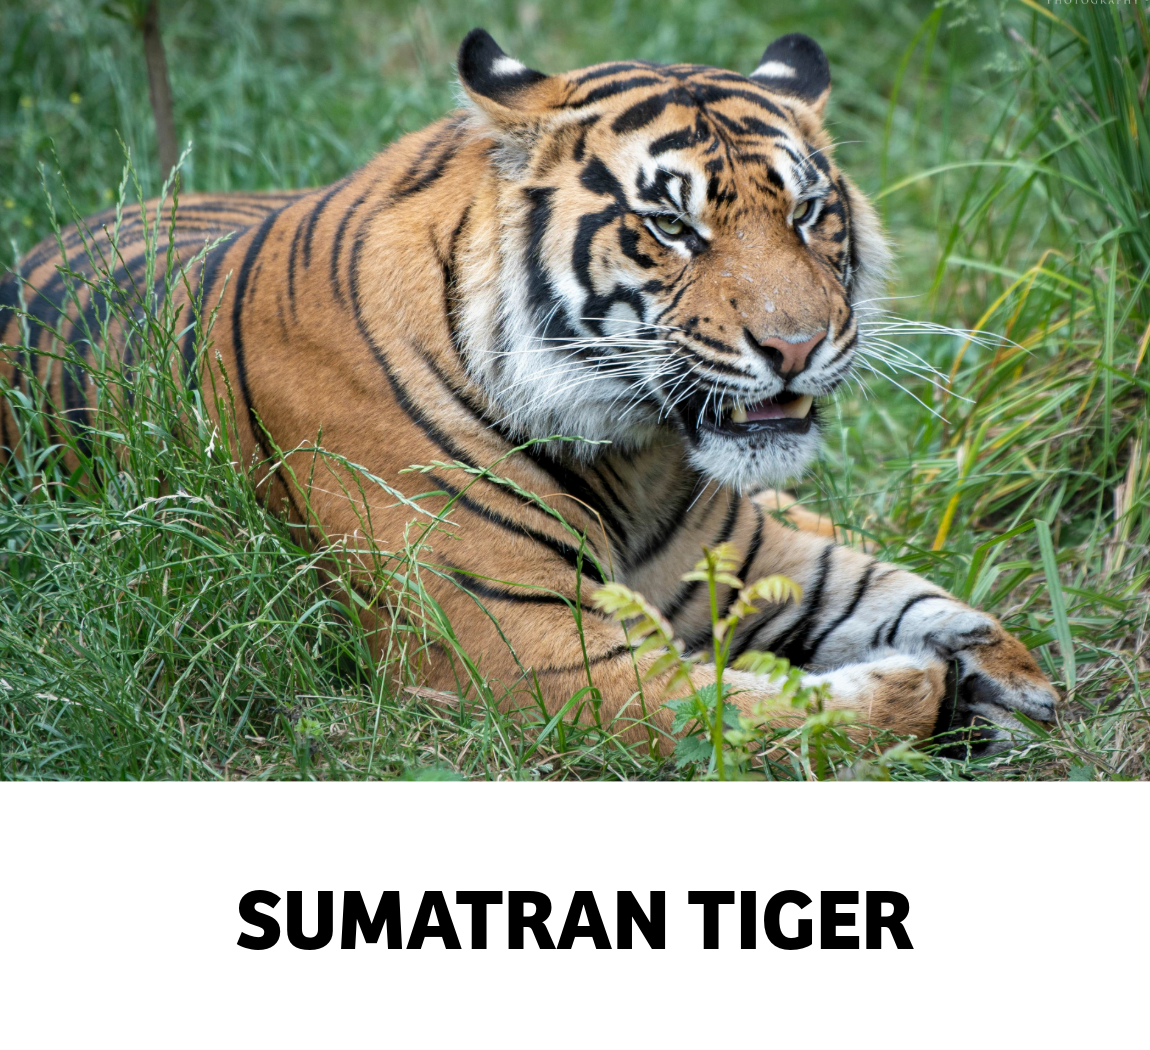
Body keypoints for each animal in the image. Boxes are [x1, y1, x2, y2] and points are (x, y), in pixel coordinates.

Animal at [0, 28, 1057, 755]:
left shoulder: (755, 555)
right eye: (670, 227)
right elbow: (787, 714)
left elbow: (921, 597)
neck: (640, 452)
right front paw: (938, 693)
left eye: (806, 211)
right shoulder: (539, 654)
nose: (796, 346)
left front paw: (1009, 677)